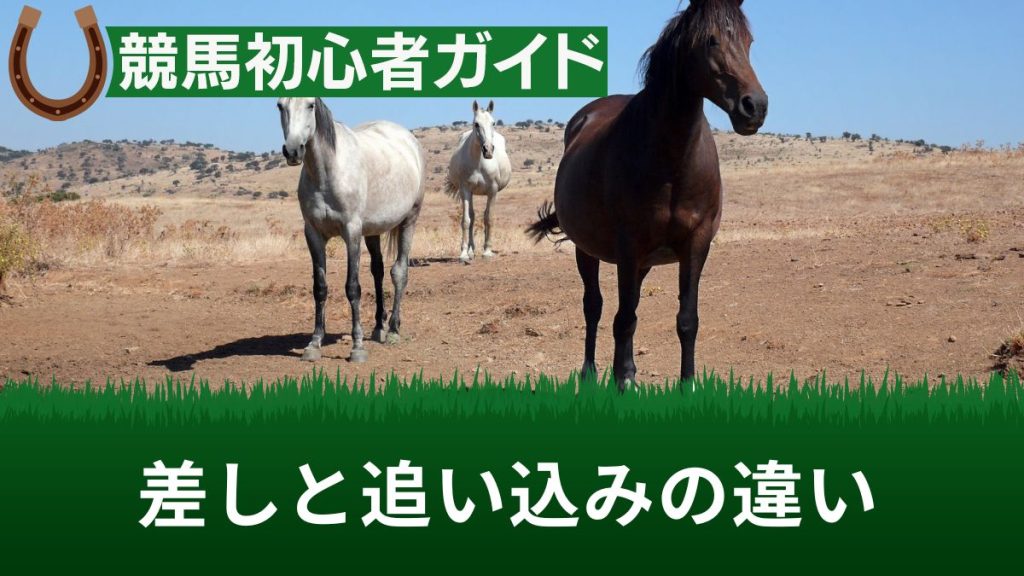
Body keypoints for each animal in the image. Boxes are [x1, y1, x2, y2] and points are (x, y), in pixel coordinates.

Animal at [278, 97, 426, 363]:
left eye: (310, 105)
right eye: (279, 105)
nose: (293, 151)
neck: (328, 173)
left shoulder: (352, 232)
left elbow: (353, 288)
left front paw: (357, 347)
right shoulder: (313, 234)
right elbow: (320, 288)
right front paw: (314, 343)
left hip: (409, 220)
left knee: (399, 272)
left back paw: (393, 330)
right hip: (373, 231)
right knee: (378, 271)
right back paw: (378, 327)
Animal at [444, 100, 512, 262]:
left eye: (493, 123)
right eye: (476, 124)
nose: (488, 150)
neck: (479, 163)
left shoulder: (493, 191)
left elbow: (489, 218)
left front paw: (487, 251)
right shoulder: (465, 190)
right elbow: (466, 220)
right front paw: (464, 253)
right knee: (473, 217)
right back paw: (471, 250)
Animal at [527, 0, 768, 390]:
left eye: (749, 41)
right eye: (711, 40)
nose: (755, 107)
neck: (671, 160)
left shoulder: (696, 243)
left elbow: (686, 319)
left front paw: (686, 384)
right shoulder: (629, 246)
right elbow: (622, 318)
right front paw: (623, 381)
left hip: (643, 263)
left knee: (628, 308)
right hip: (588, 251)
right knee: (595, 307)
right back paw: (592, 373)